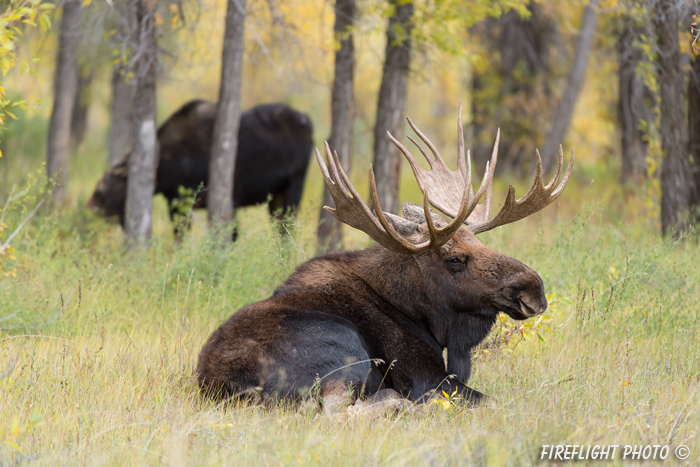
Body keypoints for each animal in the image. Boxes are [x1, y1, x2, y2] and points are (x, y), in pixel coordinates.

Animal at [87, 100, 312, 236]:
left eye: (108, 181)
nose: (91, 206)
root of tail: (308, 123)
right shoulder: (177, 205)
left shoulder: (230, 200)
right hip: (276, 199)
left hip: (294, 190)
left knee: (286, 230)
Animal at [194, 108, 572, 408]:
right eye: (454, 259)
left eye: (480, 242)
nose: (533, 289)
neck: (422, 313)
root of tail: (230, 385)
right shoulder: (426, 377)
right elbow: (495, 402)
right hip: (345, 352)